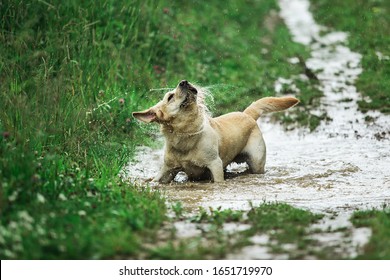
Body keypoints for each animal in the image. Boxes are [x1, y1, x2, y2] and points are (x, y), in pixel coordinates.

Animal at [132, 80, 298, 183]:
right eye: (170, 97)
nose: (184, 82)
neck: (188, 134)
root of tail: (247, 114)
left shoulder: (215, 165)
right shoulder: (167, 170)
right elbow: (157, 180)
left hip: (257, 162)